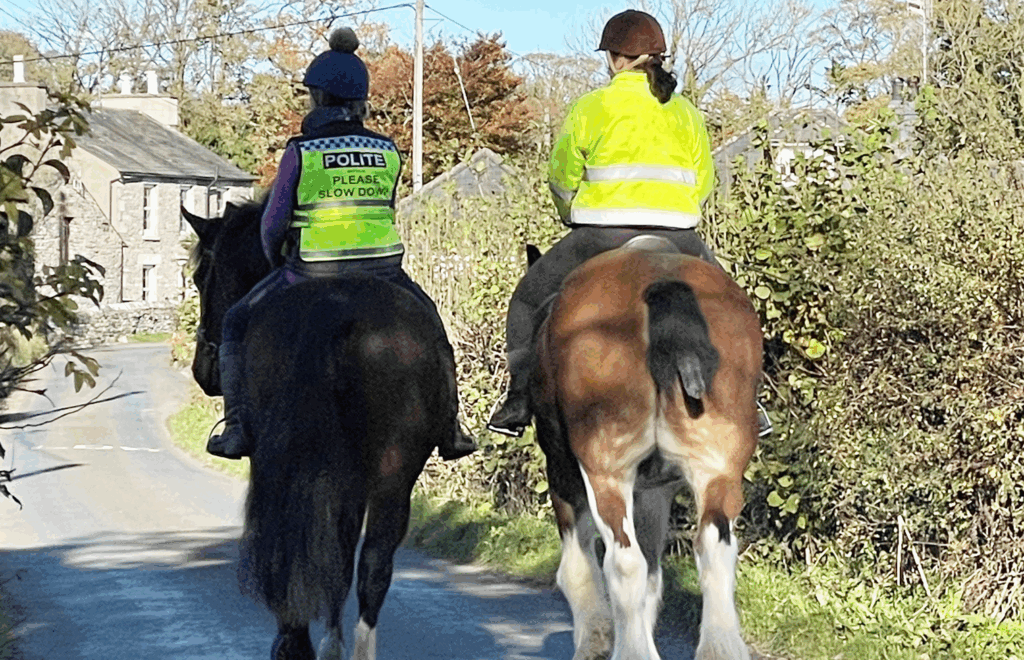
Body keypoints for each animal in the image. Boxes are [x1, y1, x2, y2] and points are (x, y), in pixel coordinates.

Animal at [183, 202, 459, 660]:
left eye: (201, 276)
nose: (202, 371)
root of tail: (340, 311)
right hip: (393, 471)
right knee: (370, 564)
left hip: (286, 462)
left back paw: (302, 642)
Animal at [528, 236, 763, 660]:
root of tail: (662, 284)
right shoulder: (657, 490)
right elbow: (654, 577)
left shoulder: (563, 471)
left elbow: (580, 566)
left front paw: (596, 638)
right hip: (717, 467)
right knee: (714, 549)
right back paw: (720, 646)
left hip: (606, 468)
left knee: (624, 562)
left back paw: (633, 651)